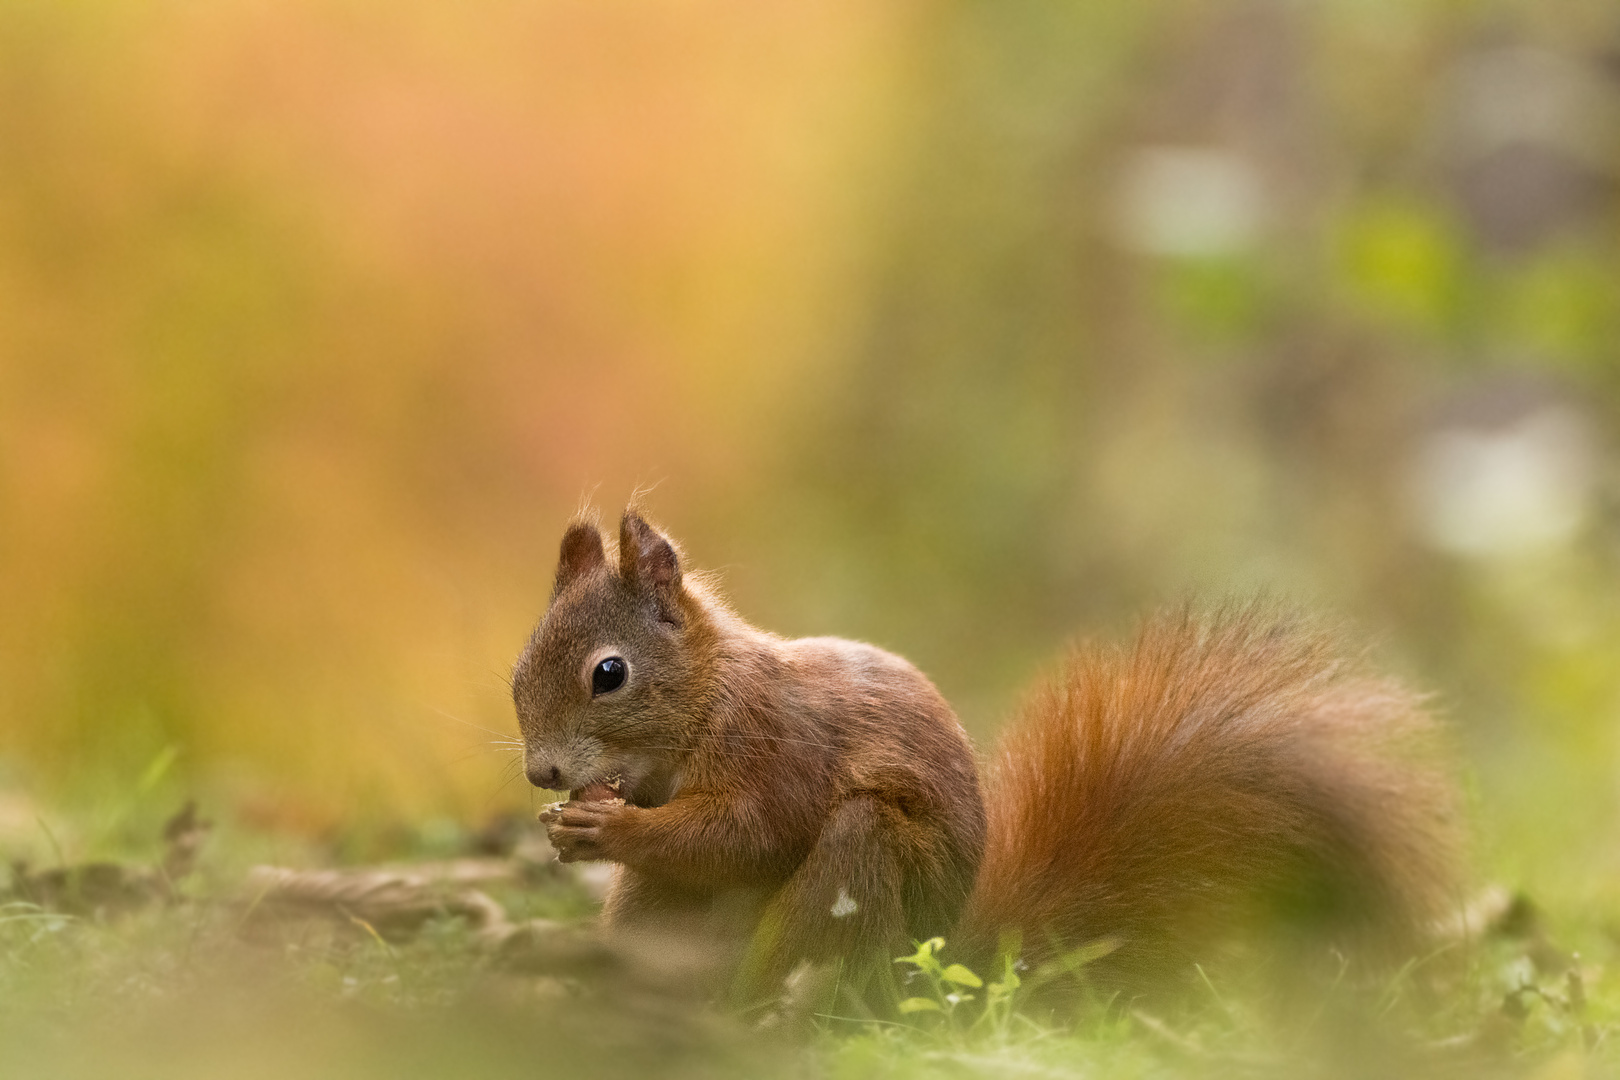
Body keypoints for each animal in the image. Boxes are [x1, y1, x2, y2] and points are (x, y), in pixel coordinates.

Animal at [511, 511, 1464, 1003]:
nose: (542, 774)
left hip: (866, 861)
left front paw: (607, 829)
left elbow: (752, 834)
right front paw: (570, 825)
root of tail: (941, 967)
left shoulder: (778, 744)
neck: (708, 696)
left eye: (608, 673)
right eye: (519, 670)